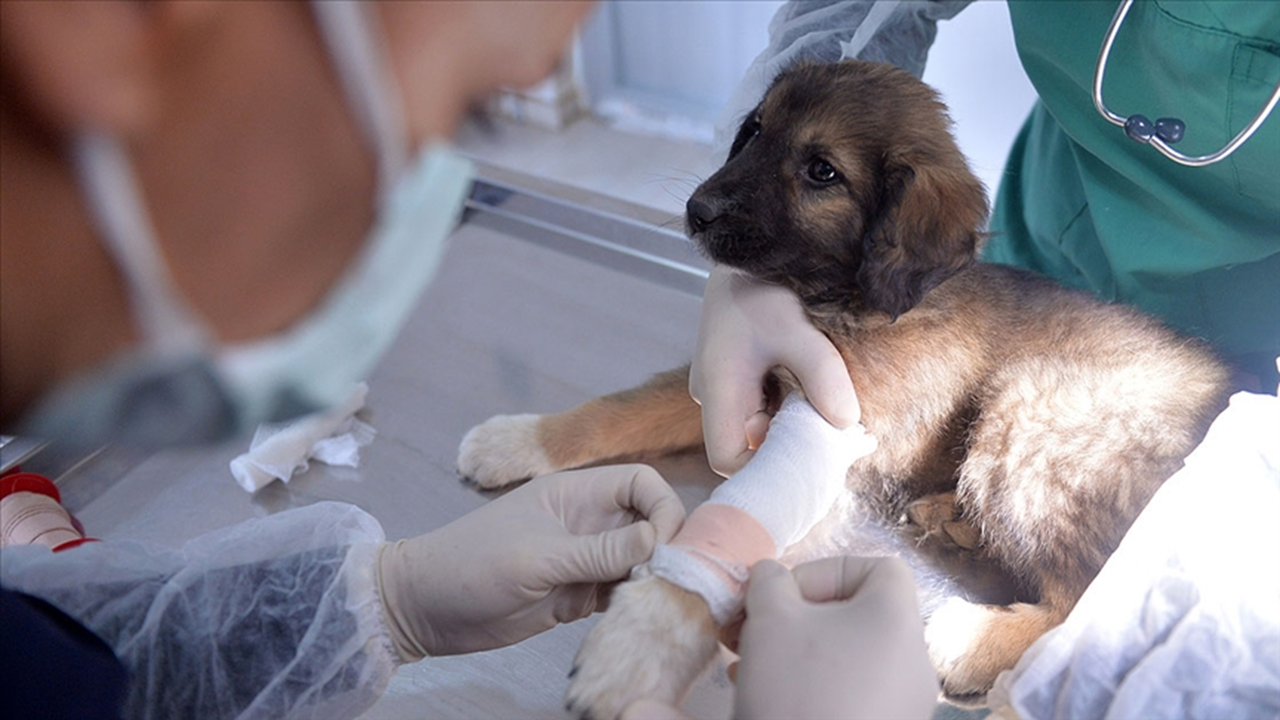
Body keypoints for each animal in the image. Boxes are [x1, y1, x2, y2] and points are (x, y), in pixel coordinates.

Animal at [458, 60, 1228, 712]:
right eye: (754, 131)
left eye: (822, 171)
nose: (698, 210)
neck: (856, 297)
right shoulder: (746, 376)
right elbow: (622, 408)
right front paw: (517, 439)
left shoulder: (830, 423)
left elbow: (733, 521)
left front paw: (642, 640)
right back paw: (950, 519)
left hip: (1036, 406)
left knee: (1088, 604)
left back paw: (971, 641)